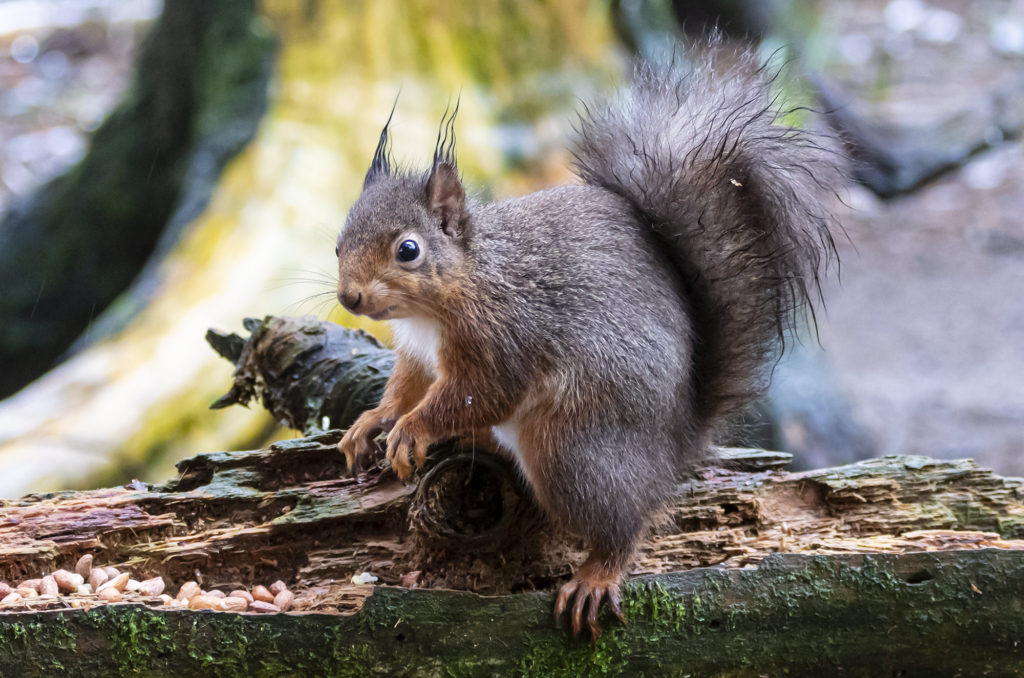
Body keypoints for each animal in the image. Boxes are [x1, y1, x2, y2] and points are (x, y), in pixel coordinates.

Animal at [331, 46, 835, 639]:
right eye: (338, 242)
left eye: (408, 250)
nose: (350, 297)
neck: (455, 292)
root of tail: (677, 444)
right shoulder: (416, 353)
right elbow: (405, 388)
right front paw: (372, 422)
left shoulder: (504, 339)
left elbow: (479, 393)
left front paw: (413, 429)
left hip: (571, 451)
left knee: (622, 523)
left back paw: (597, 574)